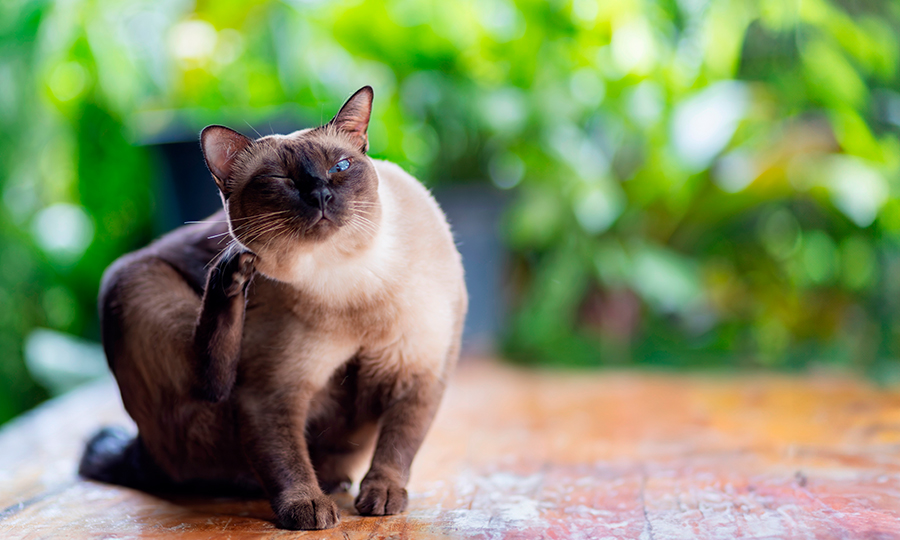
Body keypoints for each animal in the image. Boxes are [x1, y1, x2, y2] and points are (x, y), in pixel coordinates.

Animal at [78, 86, 468, 528]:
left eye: (340, 167)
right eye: (280, 180)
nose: (320, 194)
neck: (353, 283)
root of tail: (142, 447)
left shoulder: (419, 374)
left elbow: (399, 445)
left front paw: (381, 499)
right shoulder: (273, 392)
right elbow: (285, 457)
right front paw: (307, 509)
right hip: (134, 282)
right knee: (213, 381)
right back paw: (231, 272)